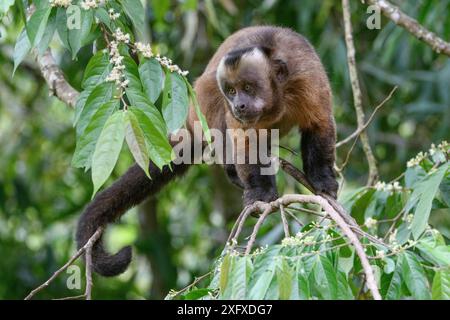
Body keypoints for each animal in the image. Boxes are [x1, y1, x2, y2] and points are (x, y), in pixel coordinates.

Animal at [76, 26, 338, 278]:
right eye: (231, 91)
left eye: (248, 88)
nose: (238, 105)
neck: (278, 98)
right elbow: (244, 140)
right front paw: (260, 191)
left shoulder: (306, 77)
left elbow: (320, 124)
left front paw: (322, 178)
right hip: (198, 111)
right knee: (211, 94)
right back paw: (232, 172)